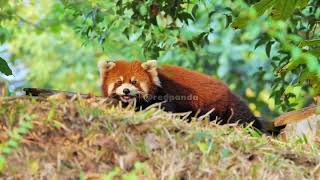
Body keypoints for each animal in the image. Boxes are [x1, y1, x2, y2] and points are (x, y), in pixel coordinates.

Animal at [99, 59, 264, 131]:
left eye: (134, 82)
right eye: (119, 82)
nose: (126, 91)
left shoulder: (167, 94)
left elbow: (166, 109)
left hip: (228, 108)